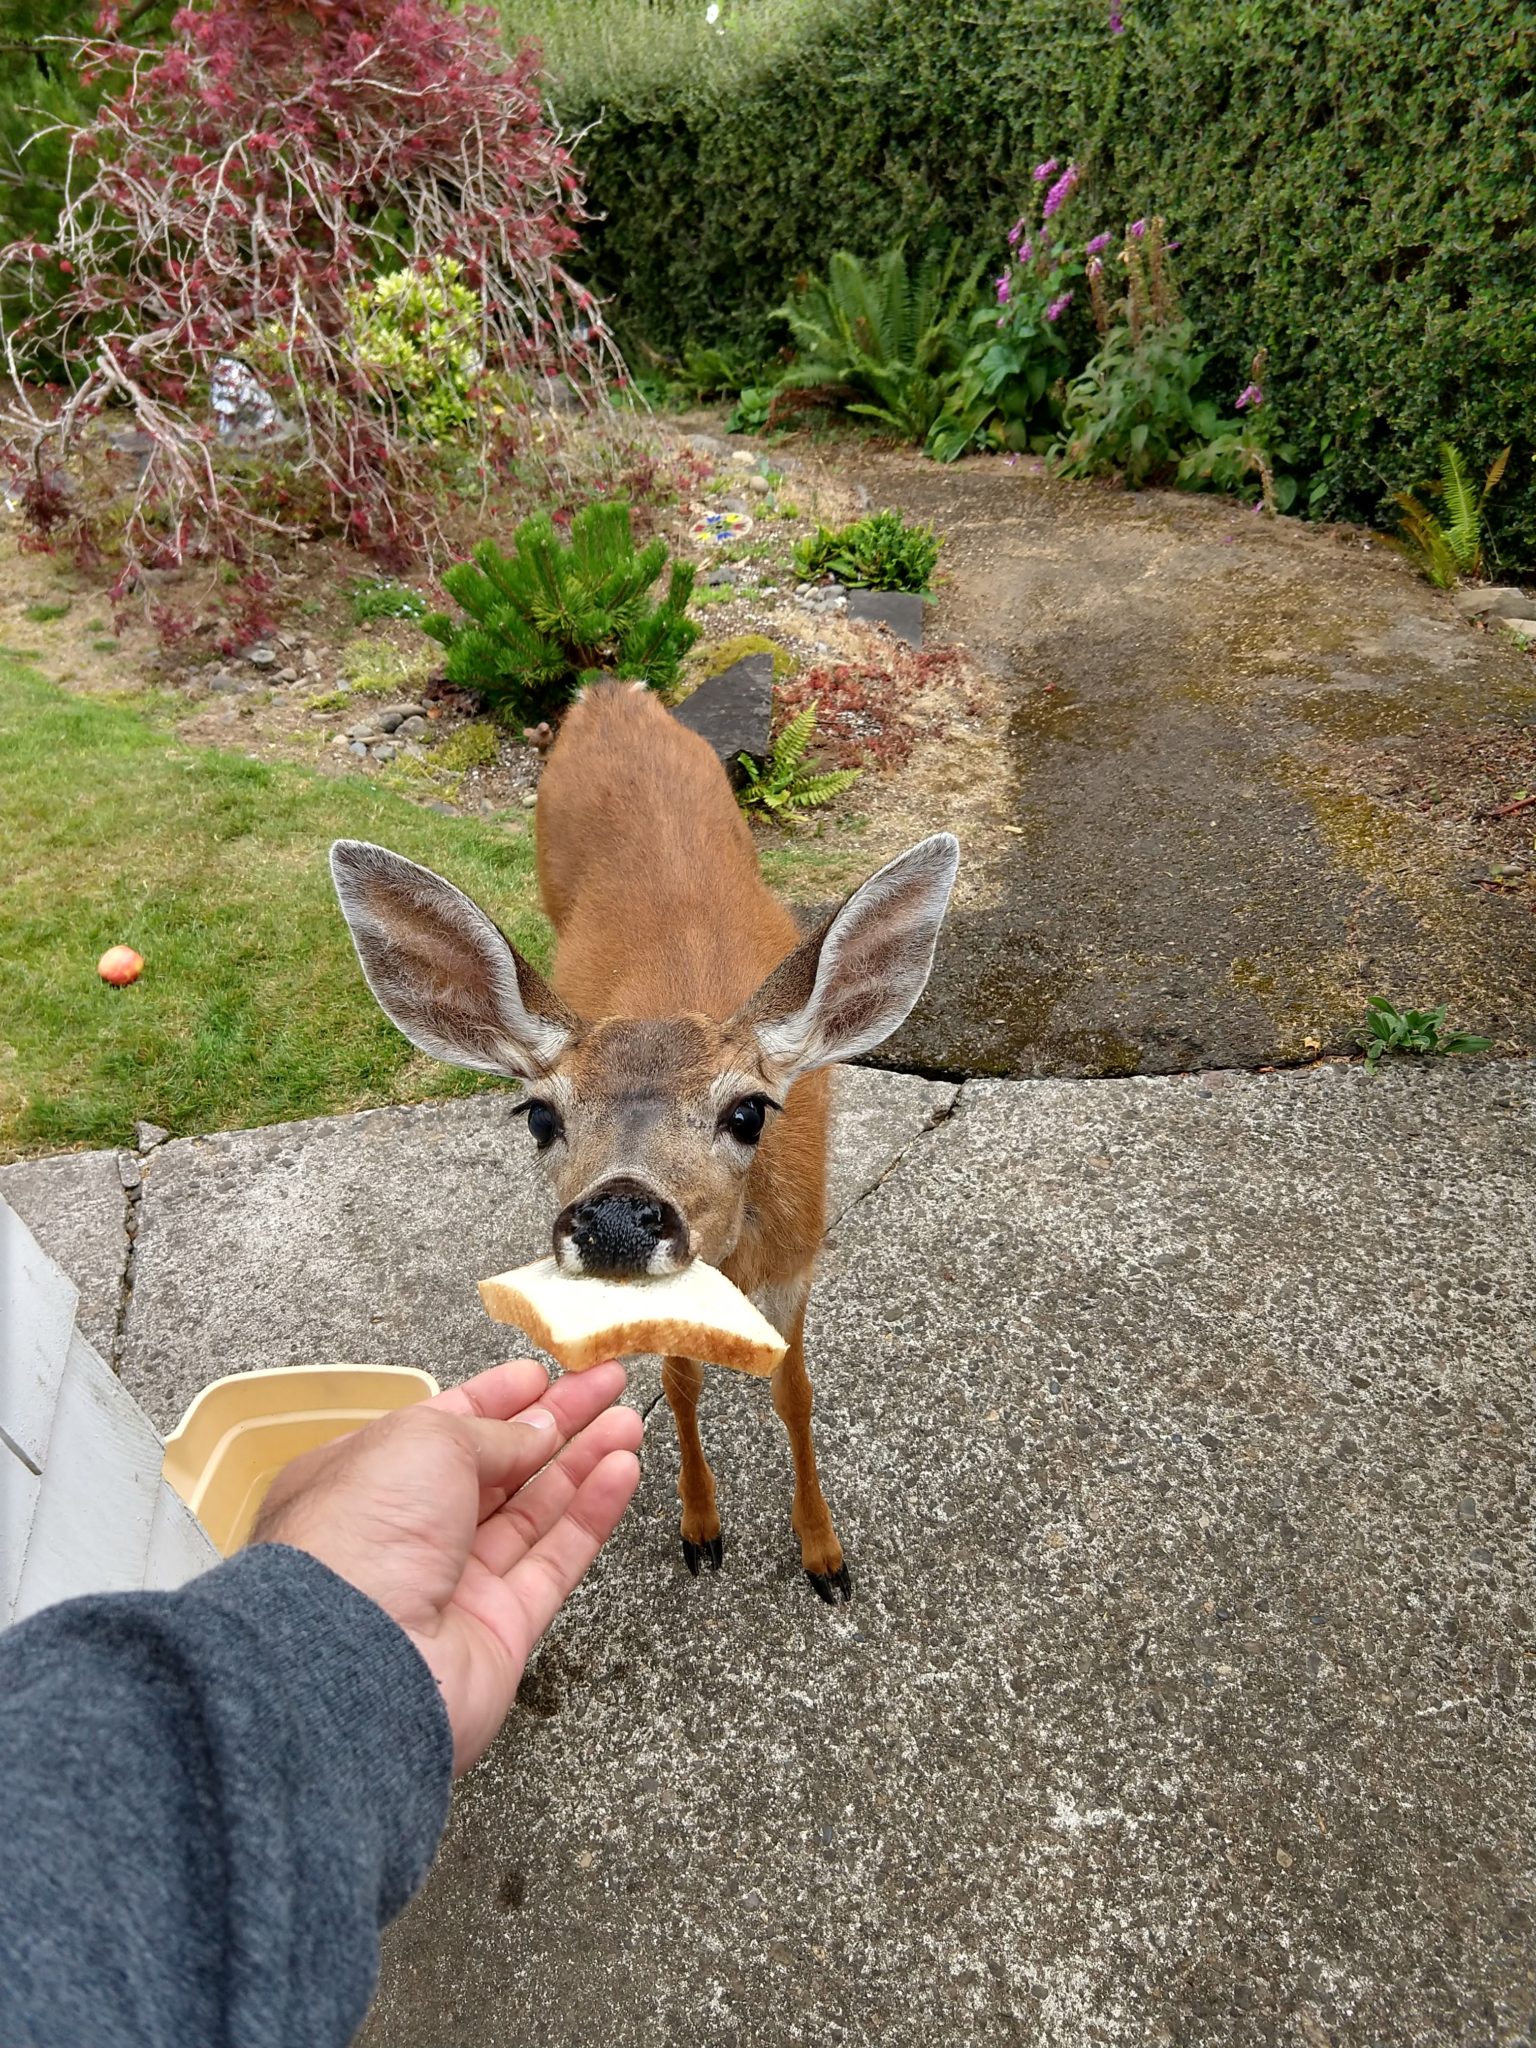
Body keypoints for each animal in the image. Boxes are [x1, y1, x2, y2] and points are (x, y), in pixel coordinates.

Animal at [333, 679, 962, 1605]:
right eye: (540, 1116)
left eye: (749, 1112)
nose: (618, 1218)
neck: (738, 1266)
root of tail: (607, 692)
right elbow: (680, 1380)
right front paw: (701, 1530)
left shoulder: (797, 1262)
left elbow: (795, 1393)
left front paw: (824, 1556)